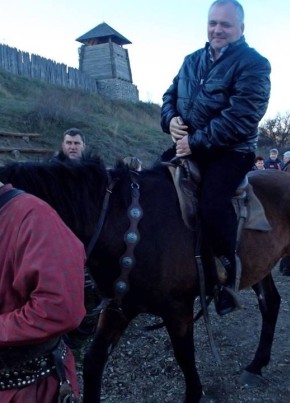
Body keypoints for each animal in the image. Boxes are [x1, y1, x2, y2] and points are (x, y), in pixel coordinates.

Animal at [0, 159, 288, 403]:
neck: (128, 225)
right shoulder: (118, 307)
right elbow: (93, 363)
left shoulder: (178, 310)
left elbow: (186, 363)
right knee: (271, 304)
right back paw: (256, 365)